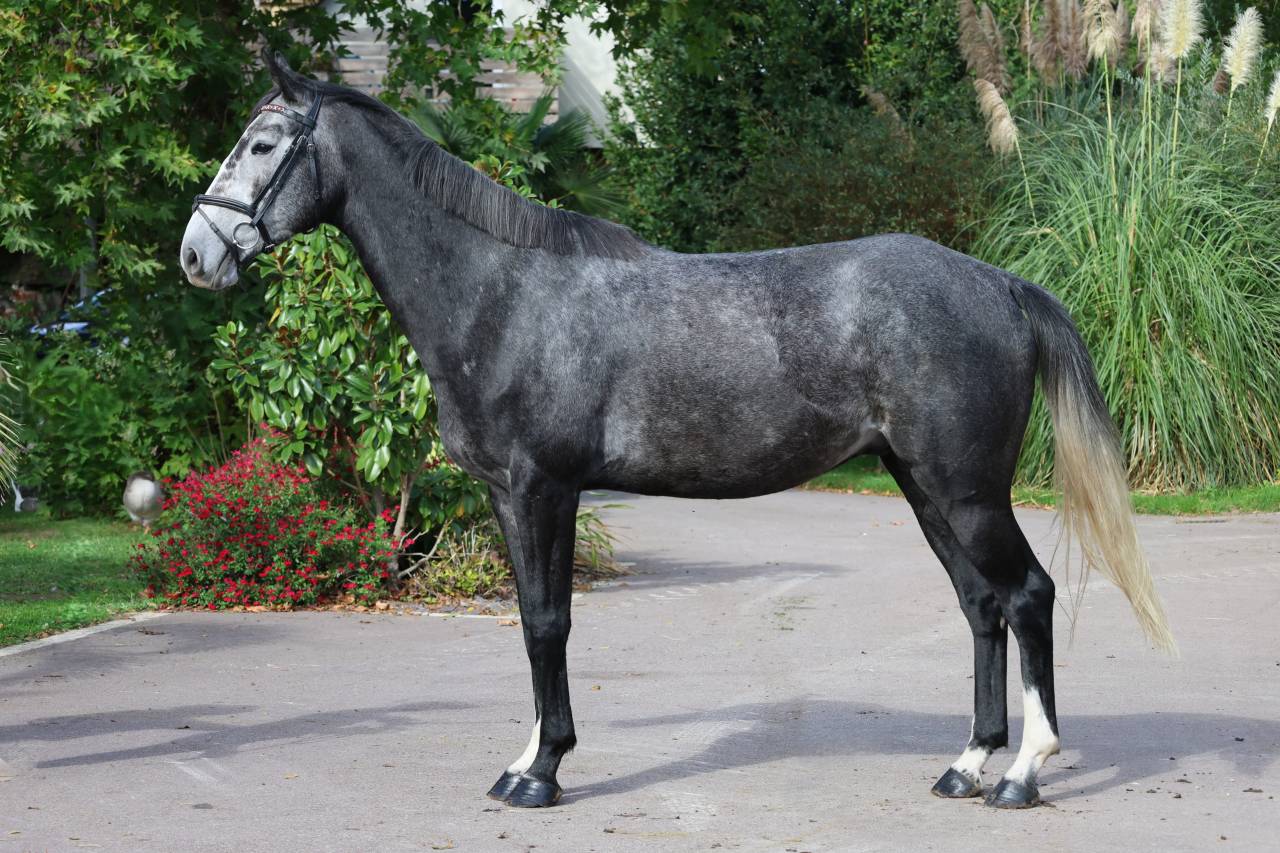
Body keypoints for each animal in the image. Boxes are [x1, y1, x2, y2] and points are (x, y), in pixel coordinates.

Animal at [180, 52, 1174, 810]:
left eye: (263, 144)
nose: (196, 254)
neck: (499, 292)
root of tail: (1000, 283)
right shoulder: (507, 496)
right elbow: (530, 623)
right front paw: (523, 760)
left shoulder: (544, 488)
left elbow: (549, 622)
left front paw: (542, 773)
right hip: (924, 487)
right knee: (981, 606)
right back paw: (966, 765)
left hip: (967, 492)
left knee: (1029, 595)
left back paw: (1022, 773)